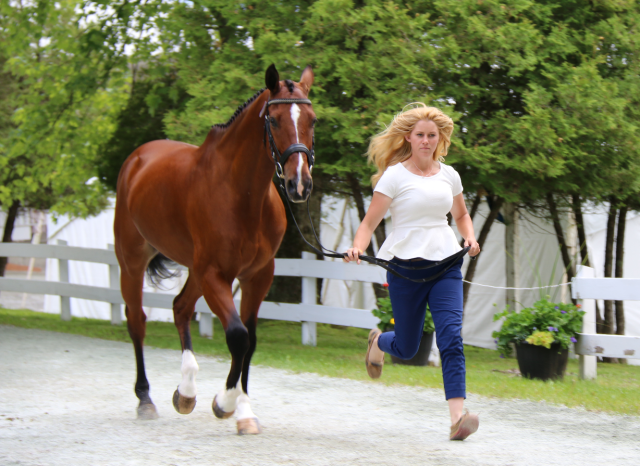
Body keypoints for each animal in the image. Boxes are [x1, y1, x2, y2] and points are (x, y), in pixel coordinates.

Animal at [116, 63, 316, 436]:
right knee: (137, 321)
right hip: (133, 262)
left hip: (195, 271)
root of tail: (137, 158)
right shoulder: (215, 274)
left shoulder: (257, 276)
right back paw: (145, 399)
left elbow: (250, 341)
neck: (241, 194)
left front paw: (244, 411)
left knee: (180, 308)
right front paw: (224, 403)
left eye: (312, 120)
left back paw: (185, 392)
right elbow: (238, 336)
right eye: (274, 120)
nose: (300, 184)